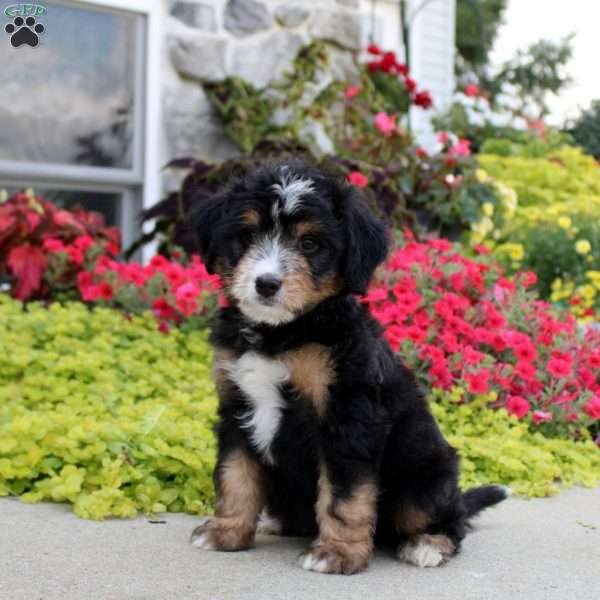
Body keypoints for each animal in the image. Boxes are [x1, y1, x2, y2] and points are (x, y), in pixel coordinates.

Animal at [189, 162, 506, 576]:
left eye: (310, 244)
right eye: (247, 235)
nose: (266, 283)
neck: (282, 334)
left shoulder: (348, 414)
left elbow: (344, 495)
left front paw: (336, 553)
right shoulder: (236, 407)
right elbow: (234, 476)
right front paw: (225, 532)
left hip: (422, 481)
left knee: (449, 520)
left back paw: (427, 545)